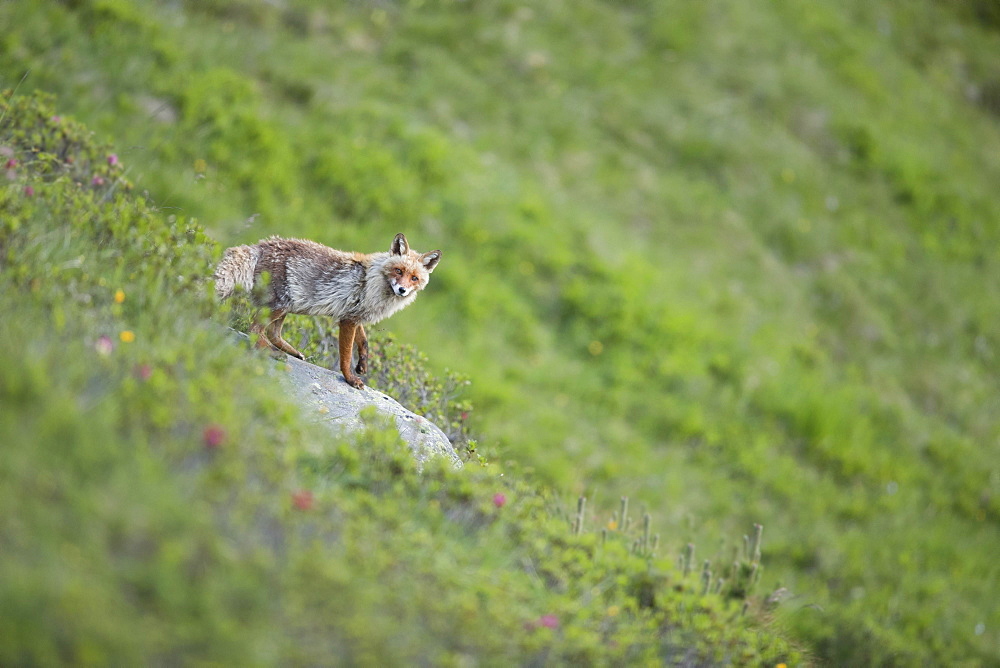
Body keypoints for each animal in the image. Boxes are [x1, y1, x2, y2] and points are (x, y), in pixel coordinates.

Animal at [215, 234, 442, 386]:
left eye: (414, 278)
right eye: (398, 271)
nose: (402, 290)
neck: (373, 282)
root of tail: (261, 245)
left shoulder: (355, 316)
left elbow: (364, 342)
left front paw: (363, 365)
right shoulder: (348, 321)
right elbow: (345, 355)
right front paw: (350, 378)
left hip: (288, 304)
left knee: (273, 333)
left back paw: (291, 352)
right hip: (280, 304)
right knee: (255, 330)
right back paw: (272, 352)